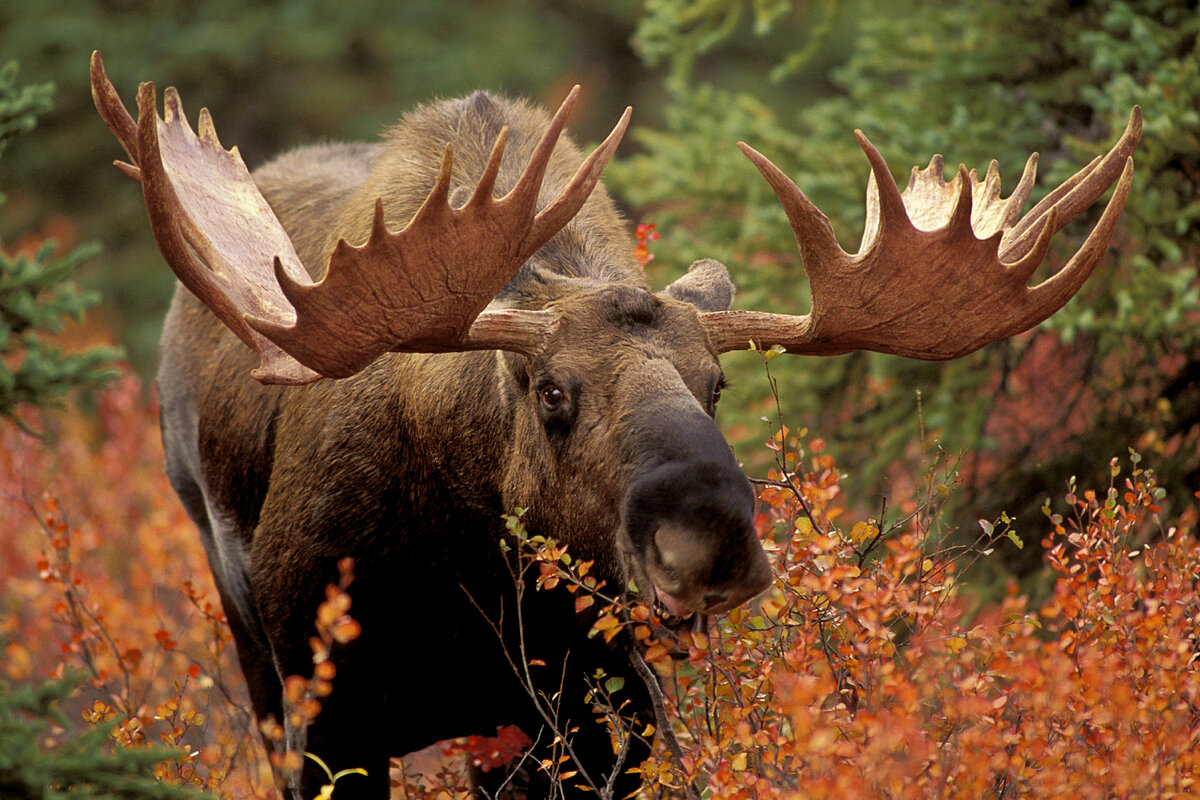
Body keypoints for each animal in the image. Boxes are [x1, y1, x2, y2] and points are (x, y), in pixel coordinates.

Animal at [88, 51, 1137, 800]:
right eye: (552, 390)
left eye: (717, 383)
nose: (708, 540)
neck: (472, 574)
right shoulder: (328, 713)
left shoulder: (601, 718)